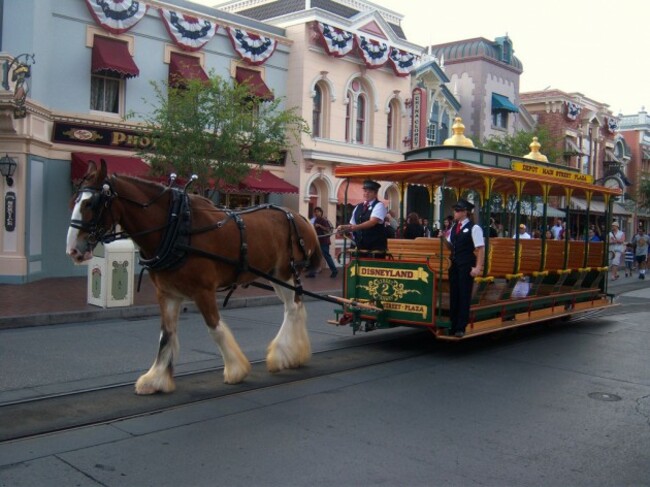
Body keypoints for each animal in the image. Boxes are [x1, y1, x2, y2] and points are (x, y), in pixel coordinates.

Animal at [67, 161, 320, 396]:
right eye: (75, 200)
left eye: (91, 203)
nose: (73, 249)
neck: (175, 227)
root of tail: (301, 217)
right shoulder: (167, 293)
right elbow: (166, 334)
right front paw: (156, 380)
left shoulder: (203, 290)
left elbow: (215, 329)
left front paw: (236, 370)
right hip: (275, 276)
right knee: (294, 306)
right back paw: (292, 354)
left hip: (285, 274)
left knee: (293, 308)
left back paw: (283, 355)